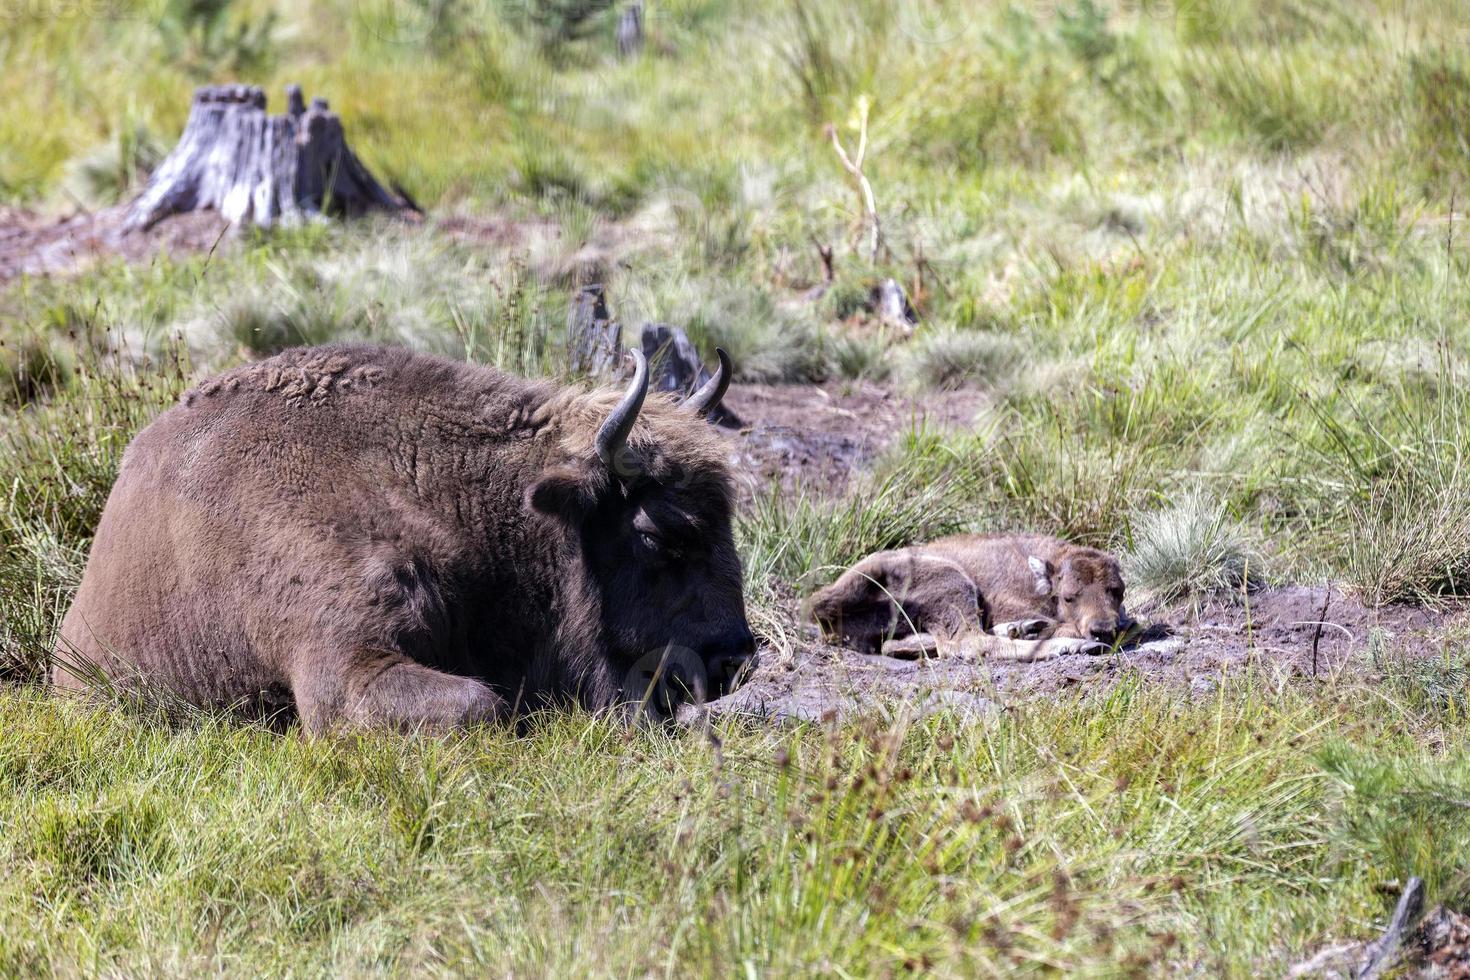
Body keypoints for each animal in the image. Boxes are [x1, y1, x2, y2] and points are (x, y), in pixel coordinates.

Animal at [811, 531, 1128, 664]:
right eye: (1068, 597)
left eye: (1117, 590)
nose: (1103, 629)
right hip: (952, 579)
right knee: (967, 642)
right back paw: (1069, 645)